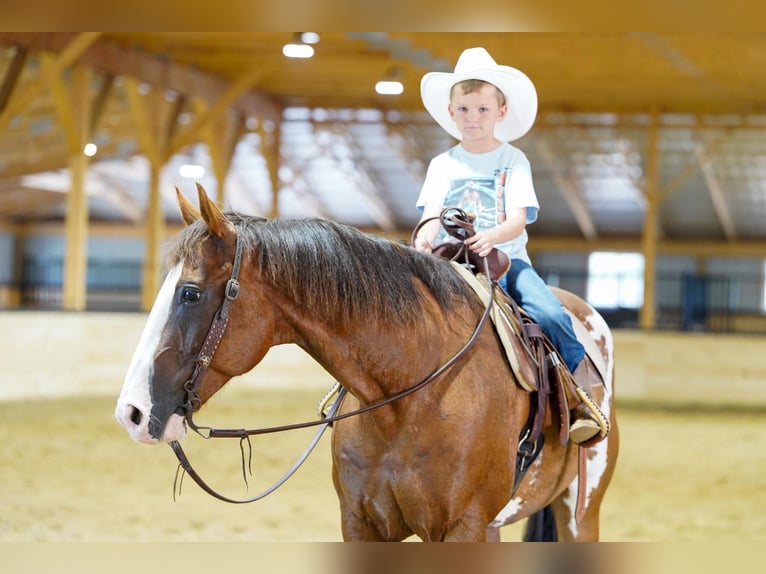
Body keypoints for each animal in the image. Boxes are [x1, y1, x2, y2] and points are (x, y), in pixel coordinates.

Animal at [114, 184, 619, 541]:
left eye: (190, 293)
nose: (132, 413)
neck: (409, 396)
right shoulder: (362, 523)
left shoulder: (463, 527)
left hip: (583, 512)